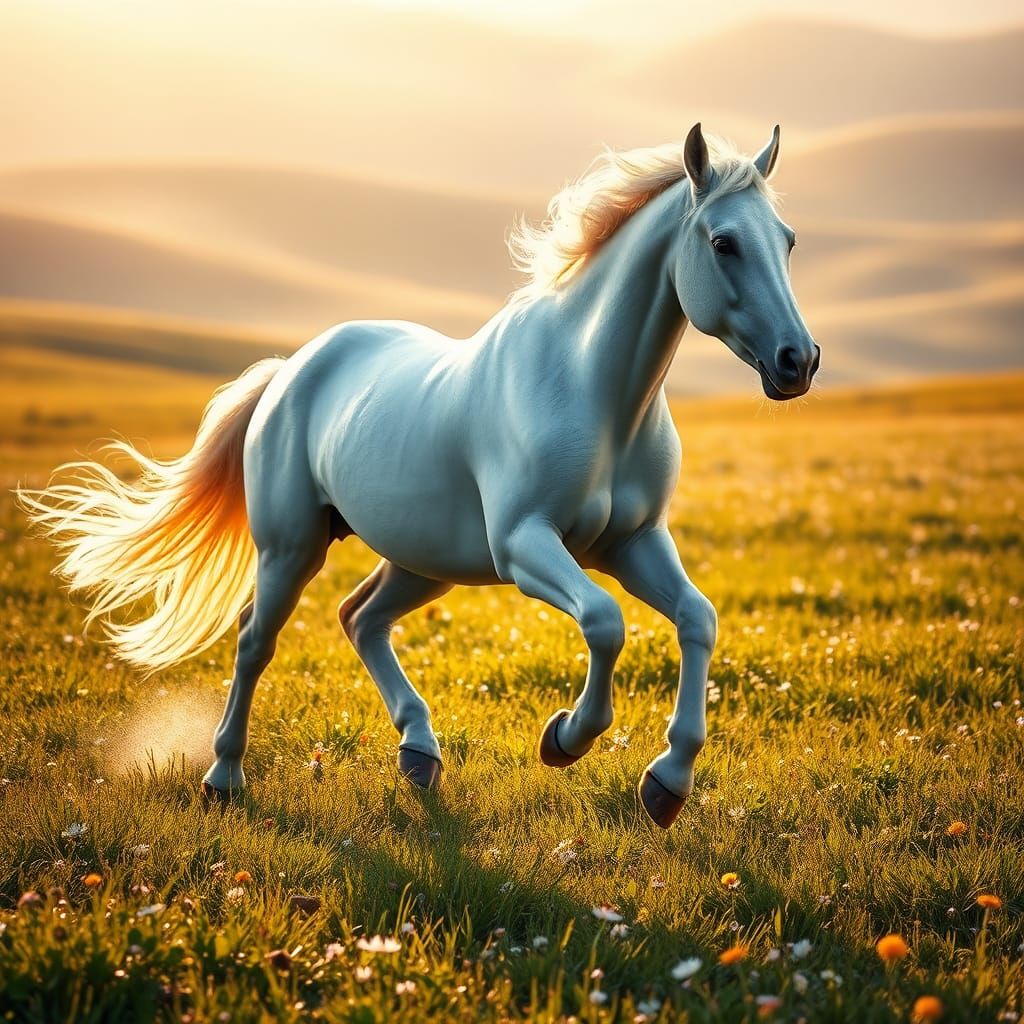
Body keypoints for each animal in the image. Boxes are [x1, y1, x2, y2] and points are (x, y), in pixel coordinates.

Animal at [19, 123, 819, 828]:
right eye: (723, 242)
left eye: (787, 239)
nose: (798, 361)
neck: (596, 393)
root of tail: (292, 369)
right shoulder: (526, 546)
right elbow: (604, 621)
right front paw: (564, 738)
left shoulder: (634, 543)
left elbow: (697, 619)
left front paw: (667, 782)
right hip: (293, 548)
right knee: (256, 641)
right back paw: (223, 776)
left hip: (424, 560)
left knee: (361, 618)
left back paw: (419, 752)